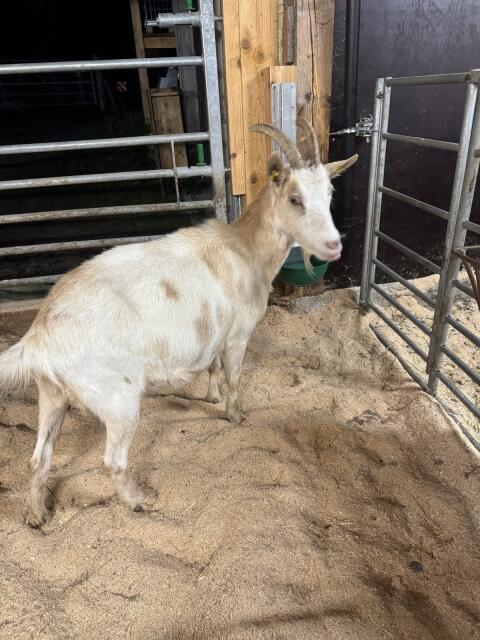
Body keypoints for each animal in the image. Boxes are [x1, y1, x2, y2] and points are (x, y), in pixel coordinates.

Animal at [0, 121, 357, 526]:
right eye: (295, 198)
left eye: (329, 193)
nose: (334, 246)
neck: (245, 250)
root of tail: (39, 337)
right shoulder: (238, 334)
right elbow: (235, 377)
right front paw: (235, 415)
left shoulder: (216, 332)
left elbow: (214, 367)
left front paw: (211, 396)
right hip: (117, 398)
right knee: (113, 461)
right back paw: (140, 501)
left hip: (51, 394)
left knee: (38, 459)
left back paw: (36, 515)